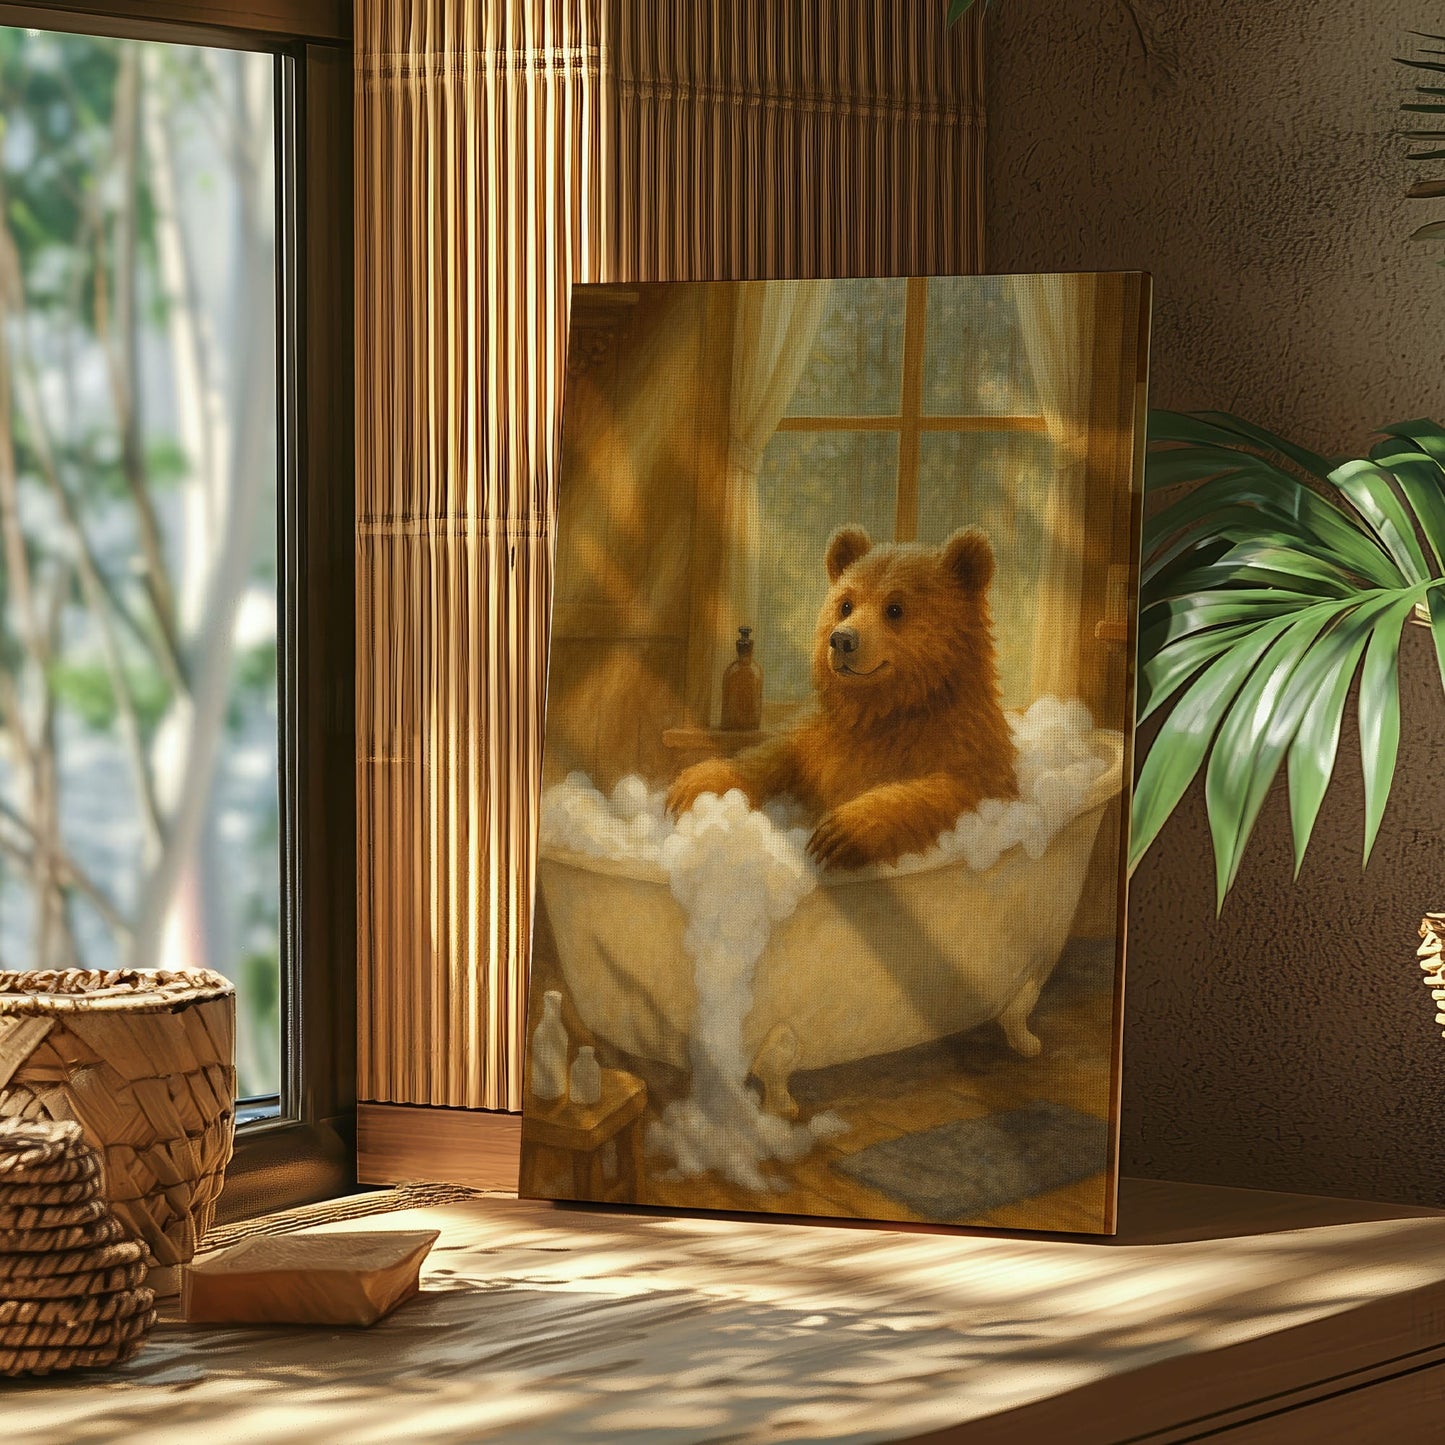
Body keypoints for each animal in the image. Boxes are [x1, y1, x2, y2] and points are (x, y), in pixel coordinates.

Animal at [665, 522, 1019, 869]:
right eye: (846, 604)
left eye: (895, 608)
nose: (842, 639)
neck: (886, 707)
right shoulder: (822, 735)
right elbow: (776, 754)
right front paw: (695, 782)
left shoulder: (961, 743)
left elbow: (949, 788)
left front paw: (840, 832)